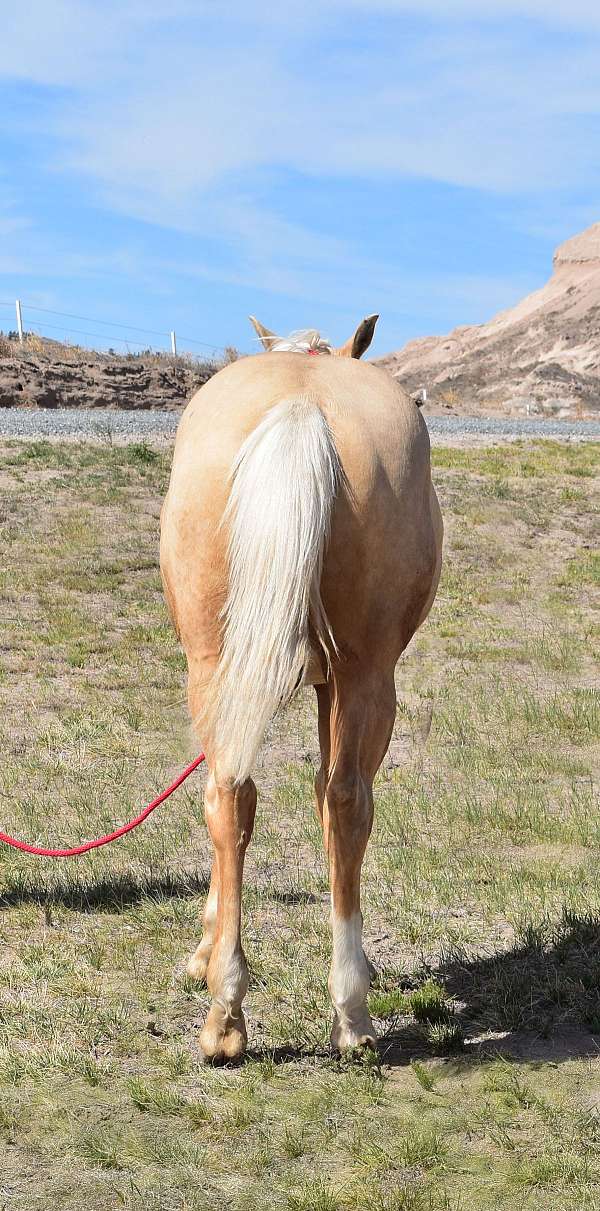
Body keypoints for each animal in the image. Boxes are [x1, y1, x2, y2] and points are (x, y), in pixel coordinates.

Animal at [160, 314, 443, 1061]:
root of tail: (300, 406)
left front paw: (204, 949)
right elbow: (321, 794)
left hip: (221, 667)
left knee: (233, 793)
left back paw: (233, 1012)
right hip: (363, 677)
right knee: (336, 799)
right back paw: (343, 1010)